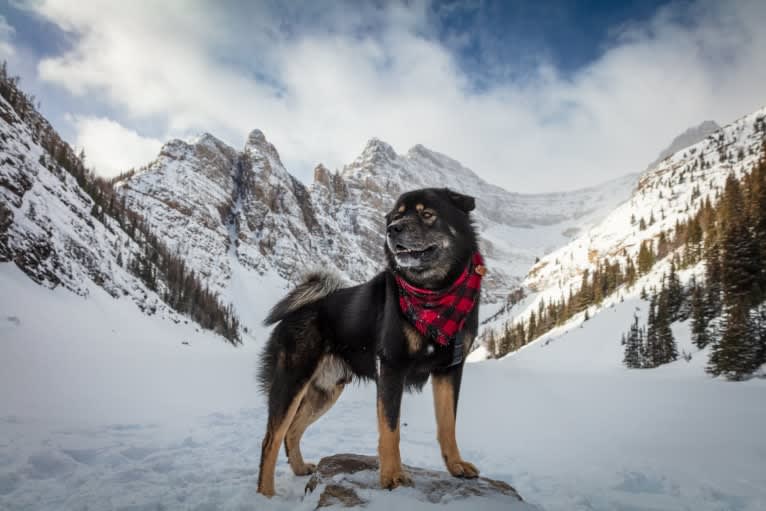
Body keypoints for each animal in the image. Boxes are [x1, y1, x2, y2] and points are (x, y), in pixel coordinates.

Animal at [258, 187, 486, 496]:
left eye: (427, 214)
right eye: (397, 216)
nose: (393, 229)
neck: (434, 294)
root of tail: (300, 308)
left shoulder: (449, 369)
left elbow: (447, 424)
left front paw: (455, 465)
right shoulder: (391, 366)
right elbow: (390, 428)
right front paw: (392, 476)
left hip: (325, 392)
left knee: (292, 431)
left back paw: (300, 468)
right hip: (292, 381)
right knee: (271, 439)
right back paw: (265, 495)